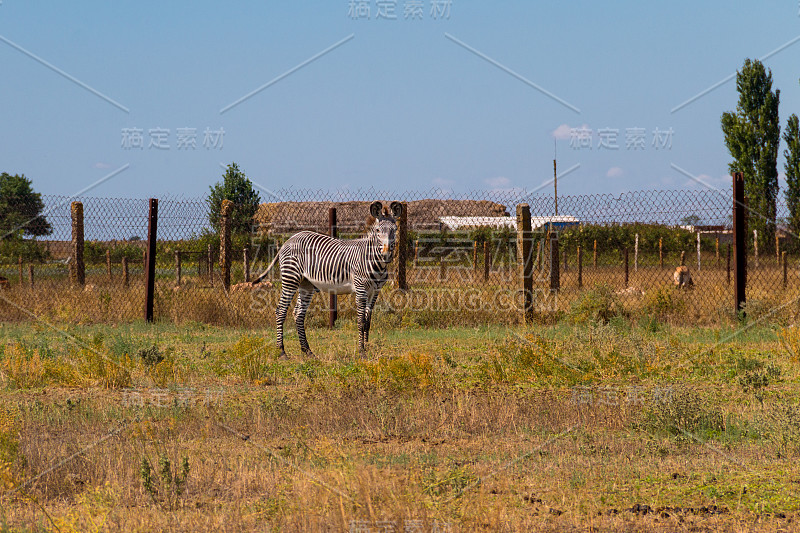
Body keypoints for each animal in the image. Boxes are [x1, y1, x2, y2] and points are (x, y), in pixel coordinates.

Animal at [252, 200, 404, 358]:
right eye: (378, 231)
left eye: (395, 230)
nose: (386, 255)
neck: (375, 262)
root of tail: (289, 240)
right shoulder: (361, 288)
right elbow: (361, 320)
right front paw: (362, 351)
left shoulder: (375, 291)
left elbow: (368, 320)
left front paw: (367, 348)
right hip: (290, 278)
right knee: (281, 311)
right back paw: (281, 351)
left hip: (306, 284)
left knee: (299, 313)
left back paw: (307, 351)